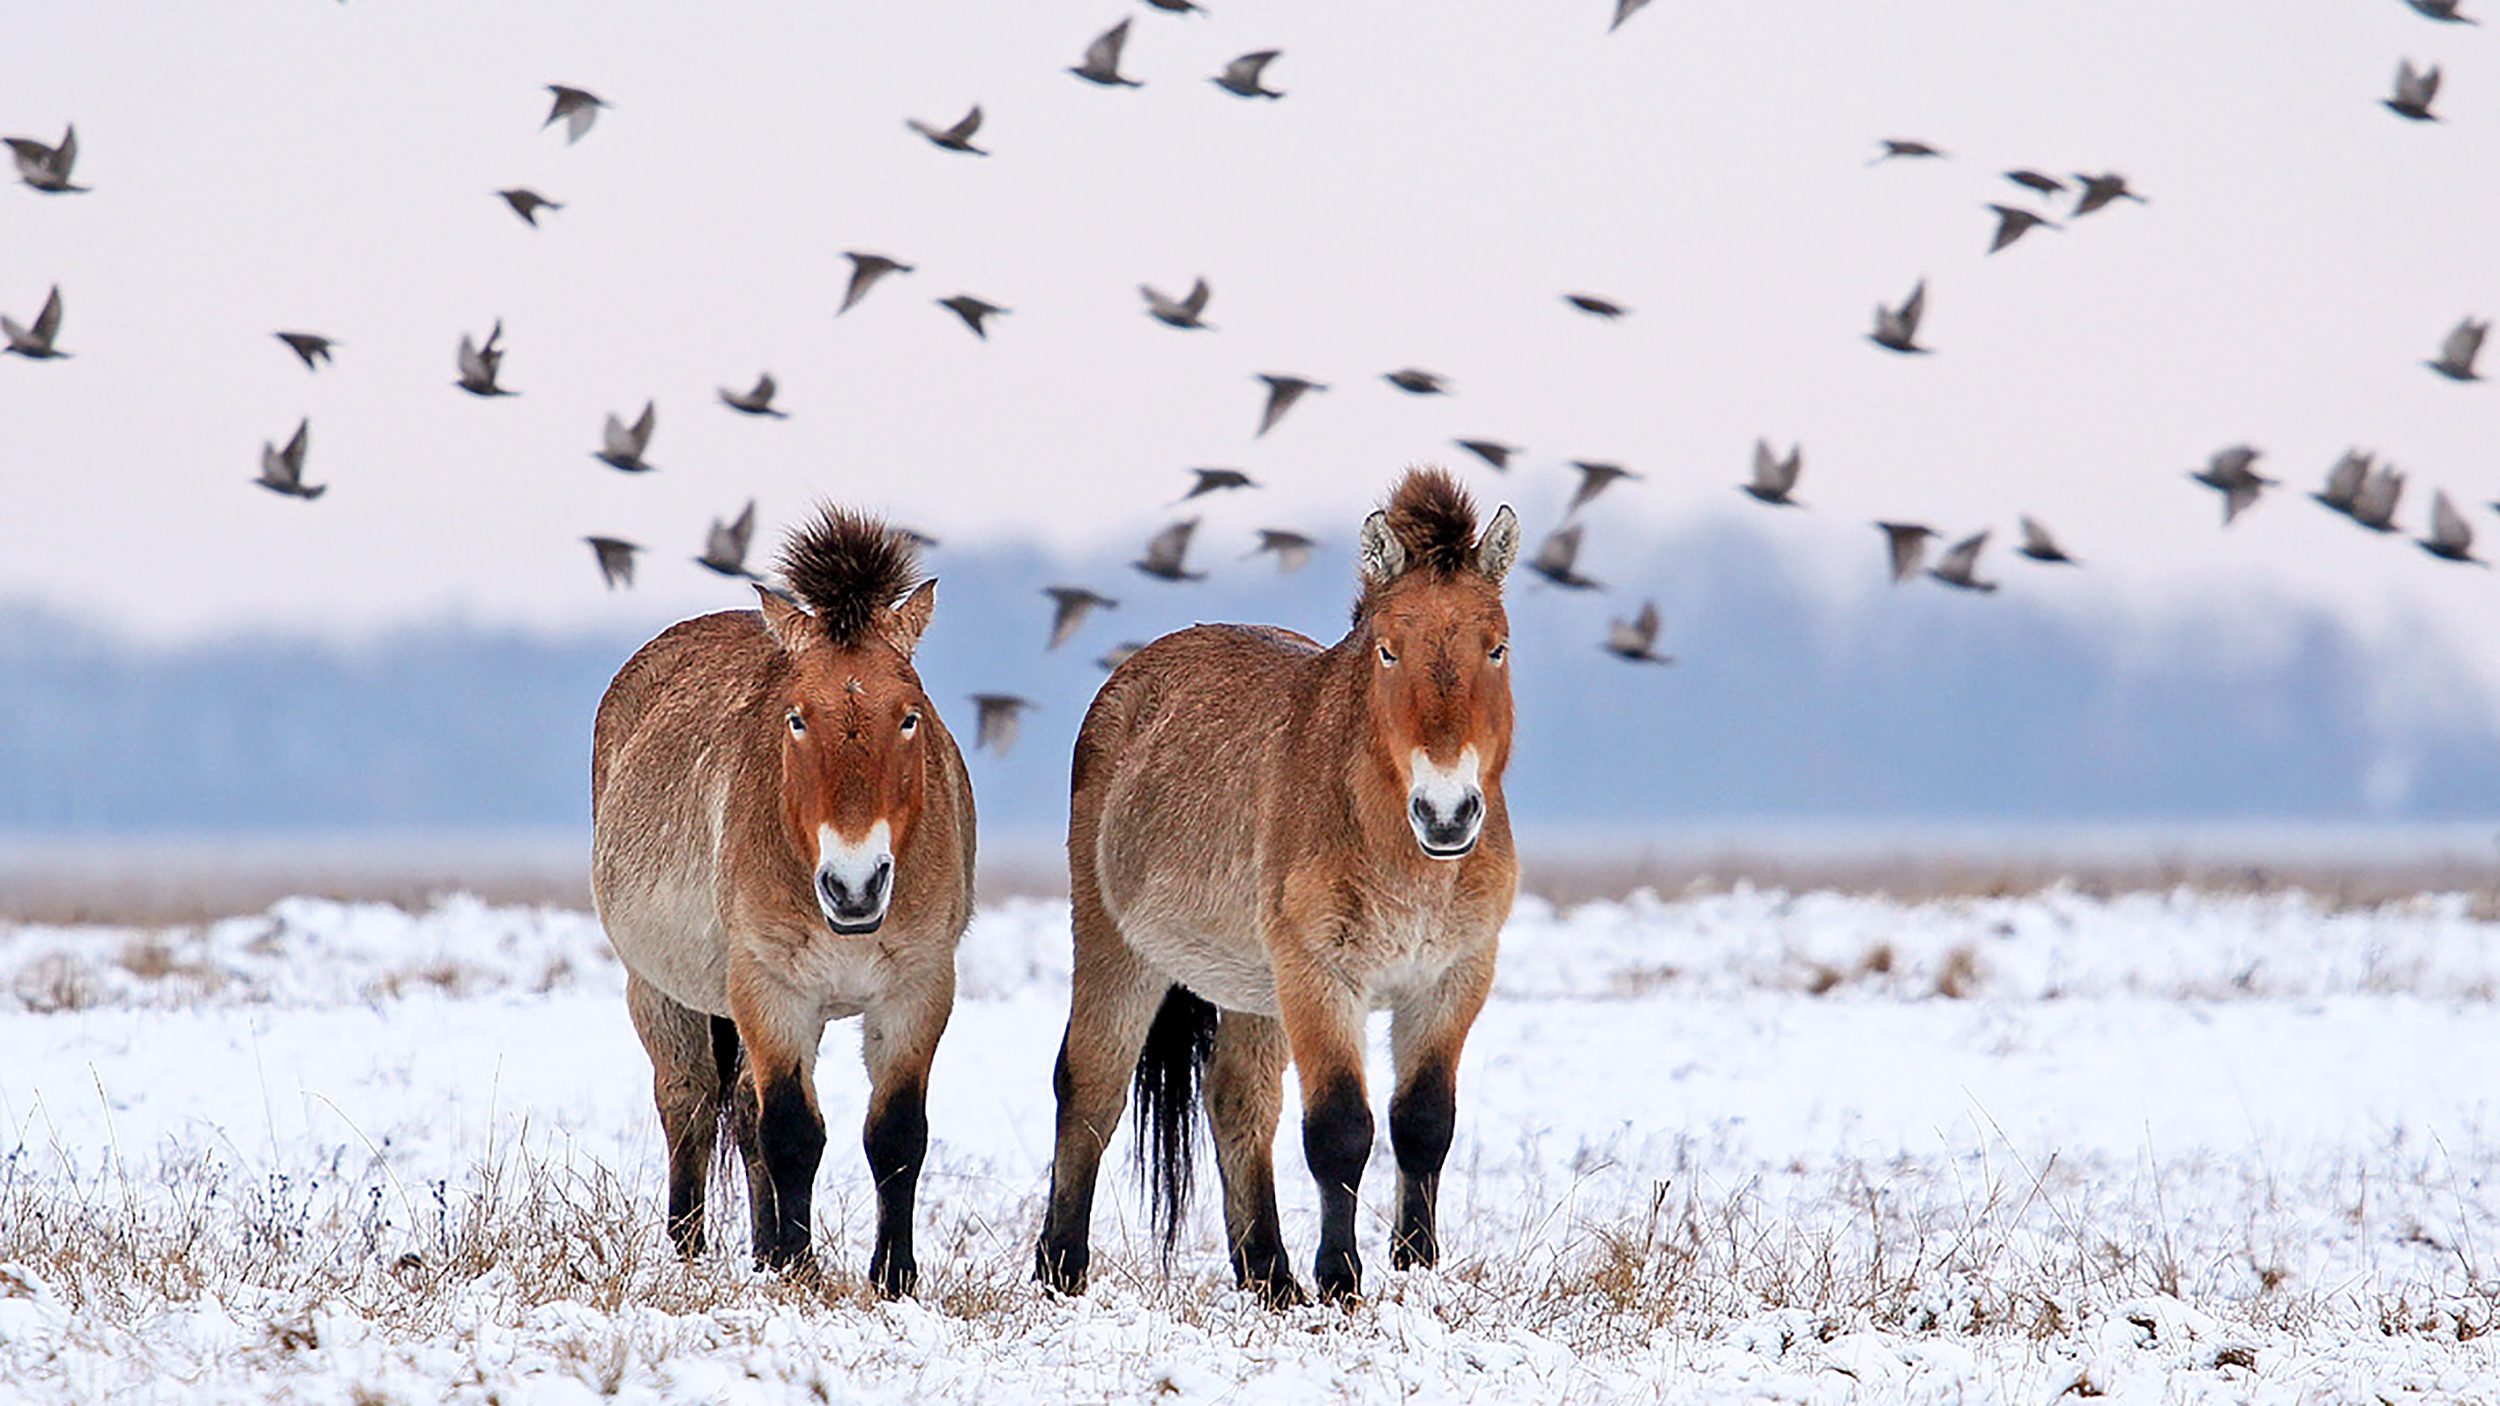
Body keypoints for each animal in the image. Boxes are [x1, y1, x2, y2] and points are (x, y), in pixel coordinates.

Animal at [590, 502, 970, 1290]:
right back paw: (689, 1248)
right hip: (659, 992)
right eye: (796, 716)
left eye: (910, 713)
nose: (854, 885)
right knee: (690, 1103)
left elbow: (896, 1135)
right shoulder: (772, 988)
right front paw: (798, 1267)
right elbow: (793, 1130)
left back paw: (761, 1247)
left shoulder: (917, 989)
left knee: (739, 1108)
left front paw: (891, 1276)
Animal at [1025, 467, 1510, 1300]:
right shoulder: (1321, 976)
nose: (1446, 811)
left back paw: (1269, 1275)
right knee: (1090, 1083)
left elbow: (1422, 1123)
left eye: (1498, 648)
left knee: (1236, 1099)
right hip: (1120, 949)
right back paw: (1061, 1265)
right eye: (1389, 651)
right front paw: (1342, 1280)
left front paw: (1416, 1267)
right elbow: (1341, 1130)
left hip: (1251, 987)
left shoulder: (1454, 977)